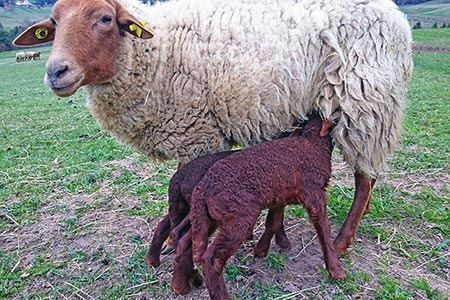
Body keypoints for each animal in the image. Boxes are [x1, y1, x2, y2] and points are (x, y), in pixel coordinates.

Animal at [12, 0, 414, 253]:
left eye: (105, 19)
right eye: (53, 24)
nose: (55, 71)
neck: (156, 50)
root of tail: (396, 16)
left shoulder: (196, 132)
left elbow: (184, 183)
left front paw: (177, 238)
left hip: (366, 103)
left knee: (365, 179)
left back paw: (342, 242)